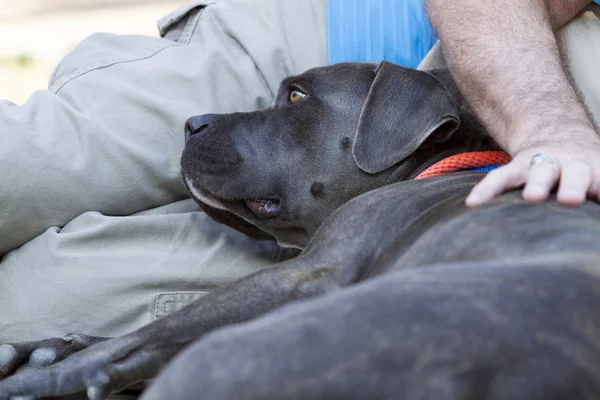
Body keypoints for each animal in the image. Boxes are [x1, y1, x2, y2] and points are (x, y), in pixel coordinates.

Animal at [1, 61, 600, 398]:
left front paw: (38, 374)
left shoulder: (308, 272)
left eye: (296, 96)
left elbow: (142, 335)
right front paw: (46, 348)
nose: (191, 123)